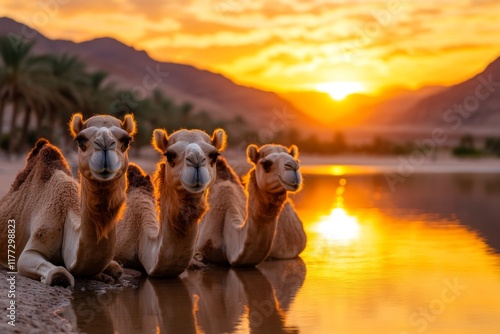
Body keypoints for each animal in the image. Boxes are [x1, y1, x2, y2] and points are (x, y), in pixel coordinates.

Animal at [0, 113, 137, 286]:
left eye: (126, 141)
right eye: (80, 140)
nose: (105, 144)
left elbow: (116, 268)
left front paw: (105, 275)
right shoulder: (34, 244)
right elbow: (59, 273)